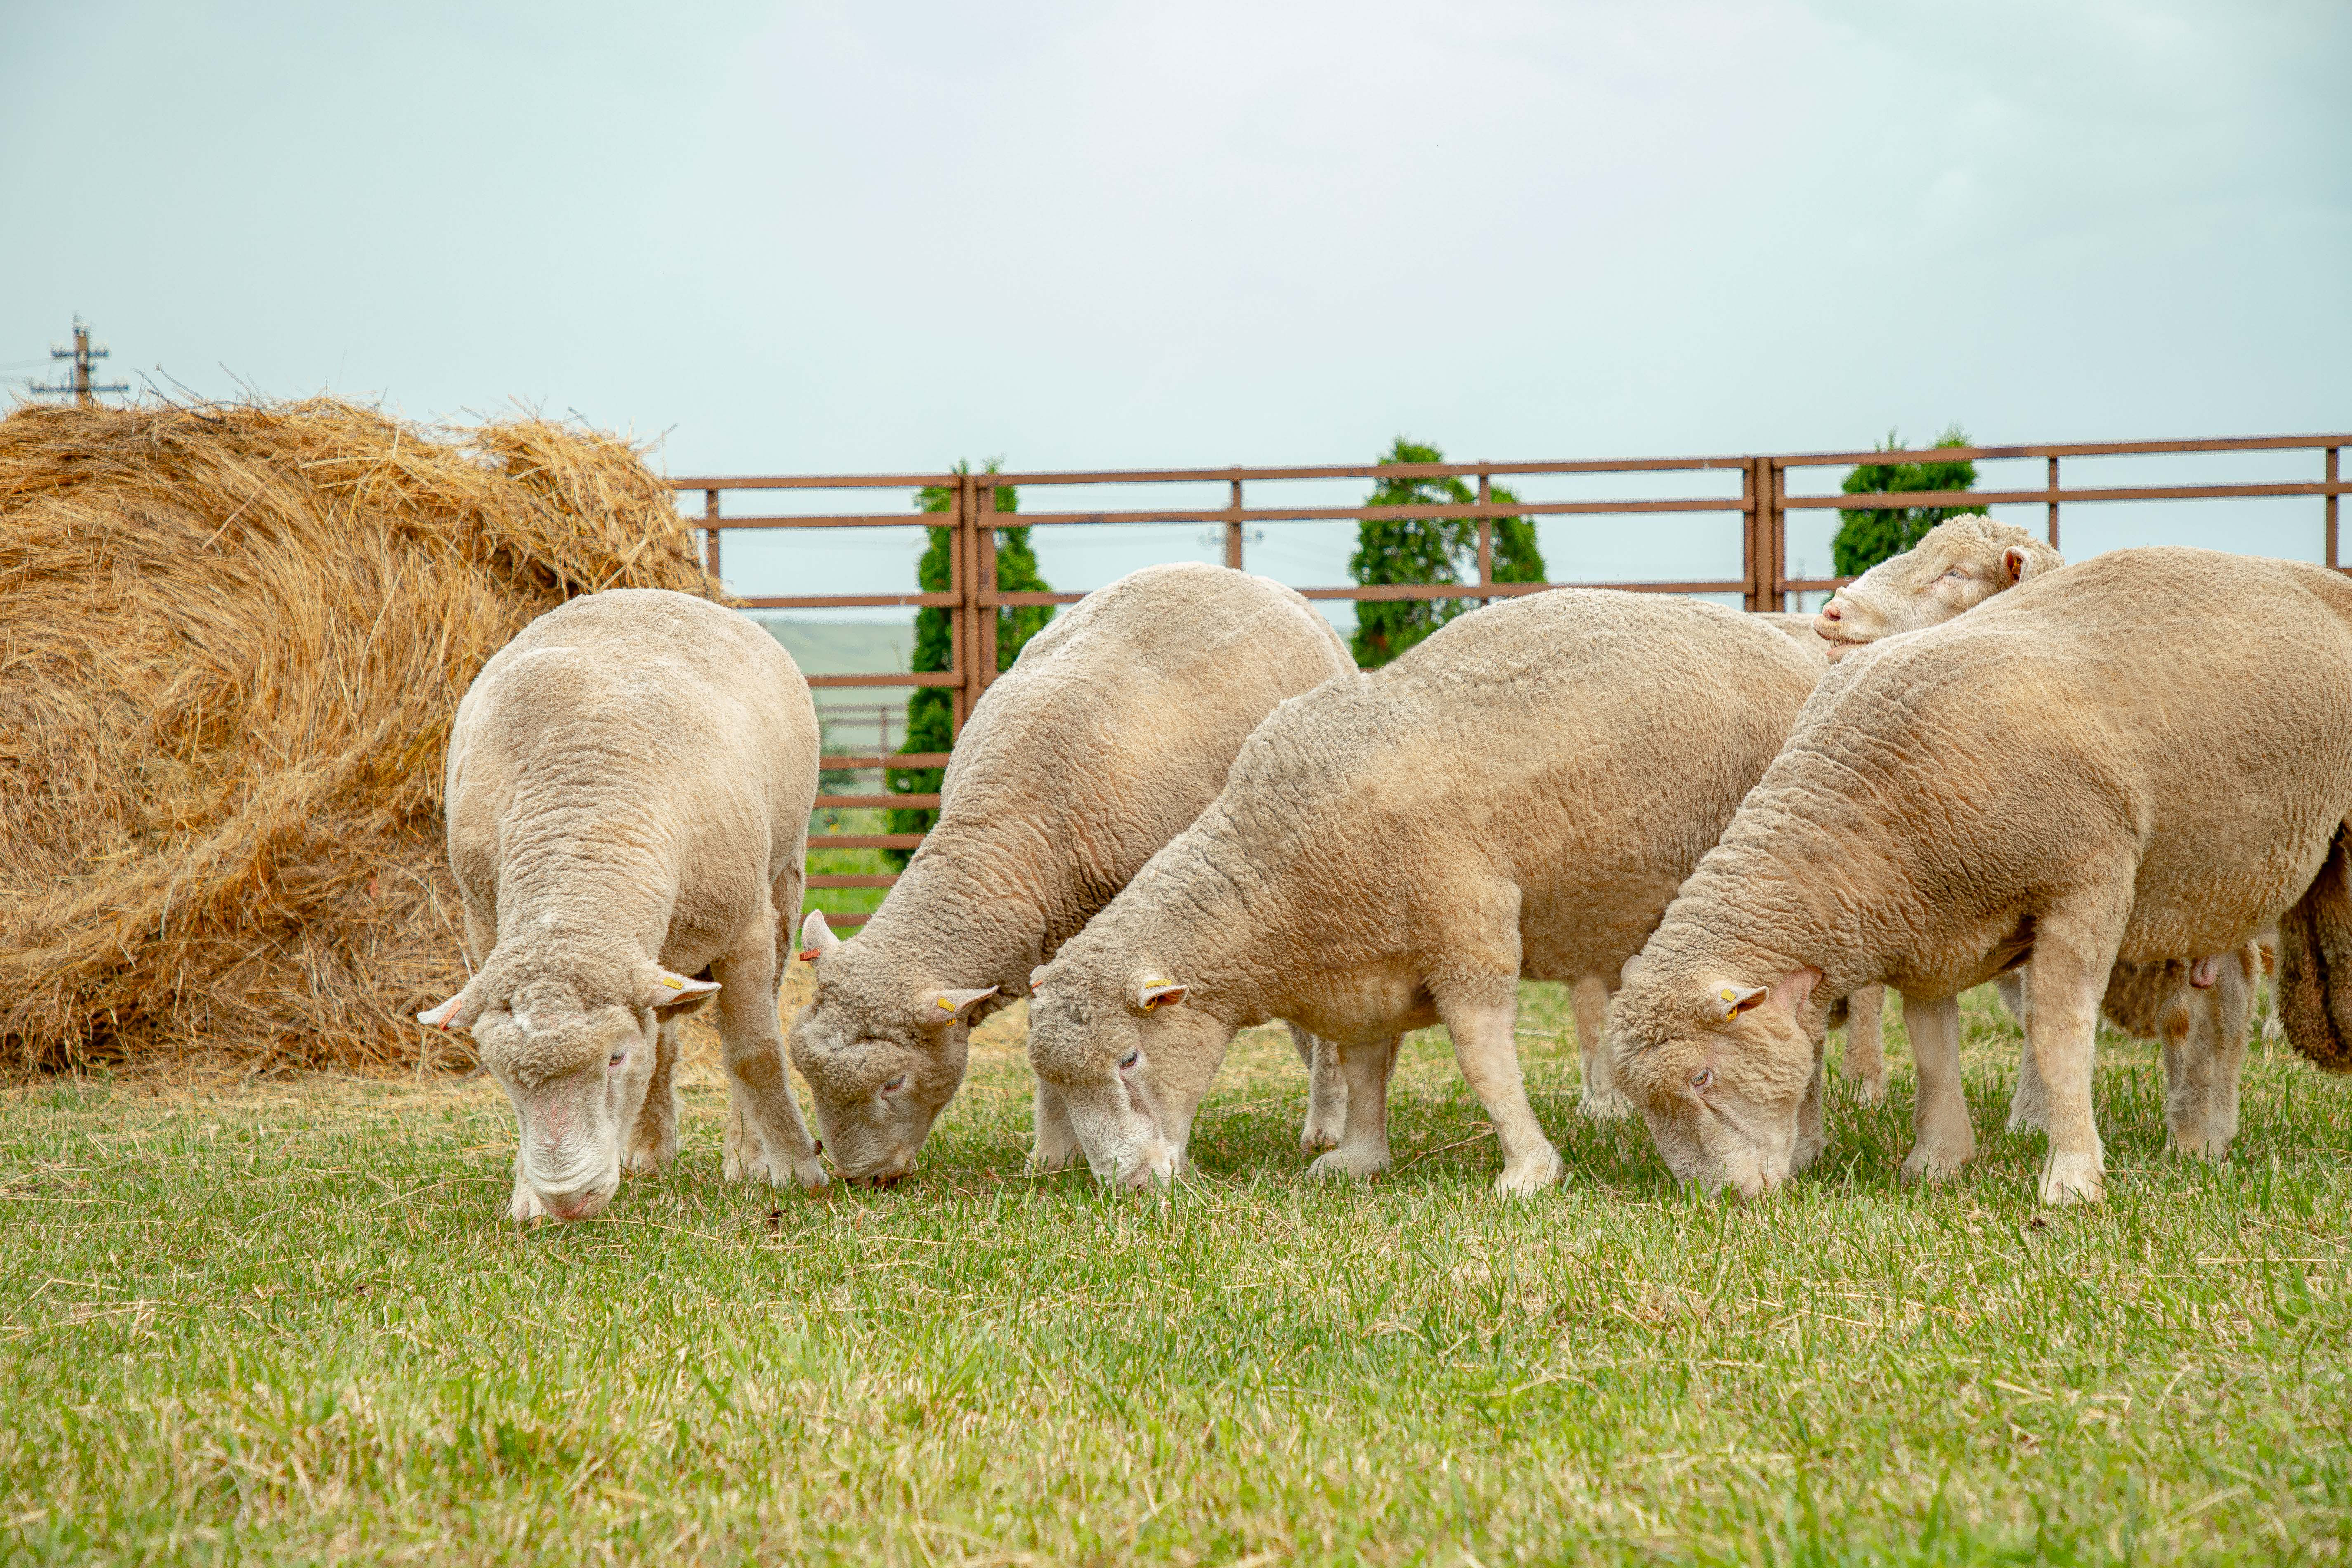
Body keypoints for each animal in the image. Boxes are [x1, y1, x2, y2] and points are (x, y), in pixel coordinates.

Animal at [423, 588, 828, 1222]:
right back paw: (648, 1148)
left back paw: (744, 1151)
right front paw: (528, 1196)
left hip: (784, 878)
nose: (569, 1200)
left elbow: (754, 1051)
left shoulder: (746, 927)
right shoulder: (485, 928)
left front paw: (791, 1166)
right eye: (503, 1074)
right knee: (662, 1038)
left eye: (614, 1058)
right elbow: (658, 1044)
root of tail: (646, 591)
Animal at [785, 564, 1355, 1189]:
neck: (1018, 818)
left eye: (895, 1081)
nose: (862, 1178)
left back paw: (1327, 1124)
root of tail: (1248, 578)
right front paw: (1055, 1152)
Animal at [1025, 585, 1816, 1189]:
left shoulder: (1469, 935)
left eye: (1129, 1058)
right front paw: (1358, 1159)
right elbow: (1364, 1068)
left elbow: (1485, 1066)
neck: (1275, 874)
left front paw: (1529, 1171)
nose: (1127, 1185)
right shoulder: (1364, 971)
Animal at [1608, 545, 2352, 1213]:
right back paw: (2200, 1137)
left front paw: (2072, 1177)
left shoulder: (2088, 881)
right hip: (2215, 874)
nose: (1720, 1201)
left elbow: (2057, 1031)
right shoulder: (1929, 933)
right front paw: (1937, 1161)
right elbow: (1933, 1047)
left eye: (1702, 1076)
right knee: (2224, 995)